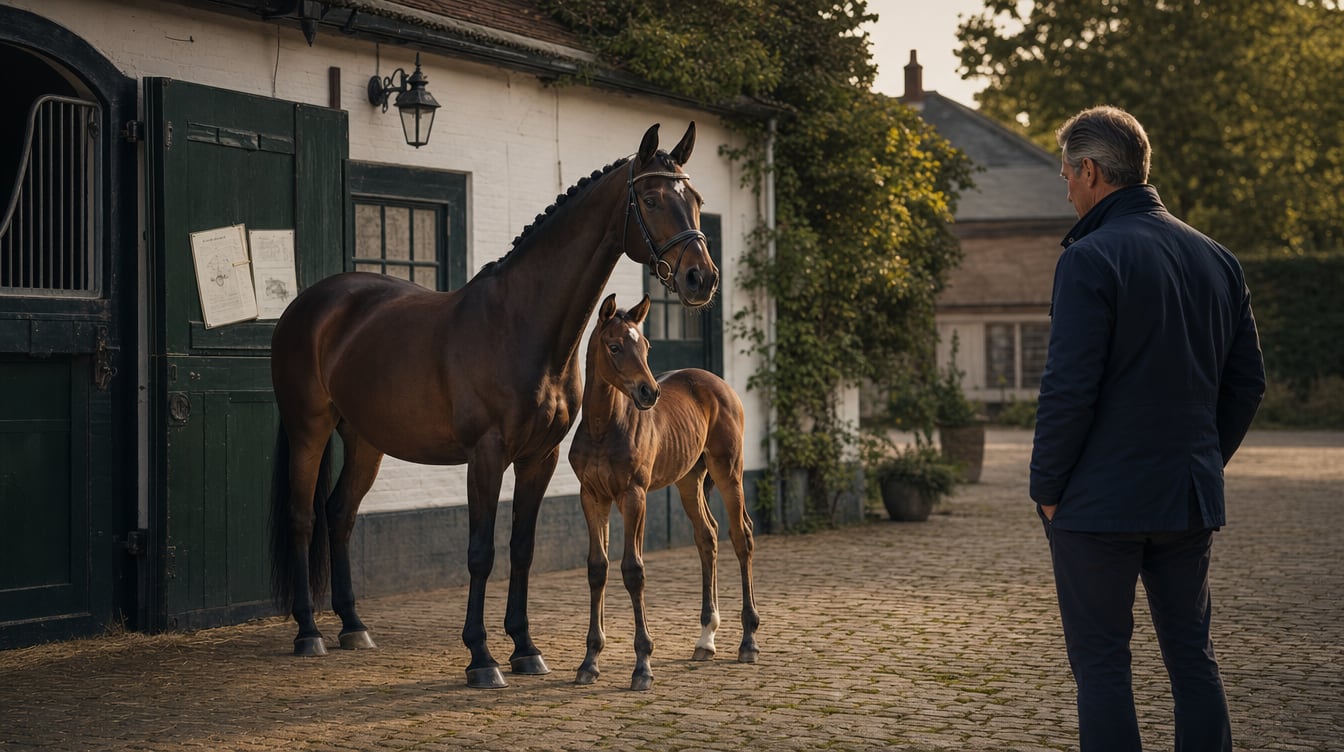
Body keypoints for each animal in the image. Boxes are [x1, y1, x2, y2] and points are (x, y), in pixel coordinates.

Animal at [269, 122, 717, 689]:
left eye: (697, 201)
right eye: (653, 198)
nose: (702, 278)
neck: (521, 324)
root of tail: (309, 304)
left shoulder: (539, 458)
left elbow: (521, 549)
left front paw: (525, 649)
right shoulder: (485, 456)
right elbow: (481, 552)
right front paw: (481, 657)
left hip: (365, 440)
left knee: (340, 514)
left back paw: (353, 626)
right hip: (308, 429)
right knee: (303, 517)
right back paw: (309, 632)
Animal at [568, 293, 759, 691]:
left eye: (646, 346)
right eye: (614, 346)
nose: (649, 392)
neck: (602, 428)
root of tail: (720, 384)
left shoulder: (633, 496)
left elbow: (633, 570)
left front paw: (642, 665)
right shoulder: (592, 496)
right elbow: (597, 568)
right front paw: (590, 661)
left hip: (729, 472)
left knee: (741, 536)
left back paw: (748, 641)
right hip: (689, 479)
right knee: (707, 535)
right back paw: (706, 639)